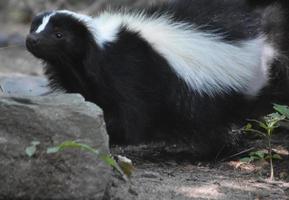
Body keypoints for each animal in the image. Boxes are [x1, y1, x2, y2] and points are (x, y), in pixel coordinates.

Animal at [25, 0, 288, 158]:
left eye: (59, 35)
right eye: (35, 27)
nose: (31, 40)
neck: (98, 46)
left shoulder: (131, 71)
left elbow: (132, 117)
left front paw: (109, 136)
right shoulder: (84, 79)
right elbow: (92, 102)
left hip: (212, 97)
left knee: (215, 125)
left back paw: (206, 153)